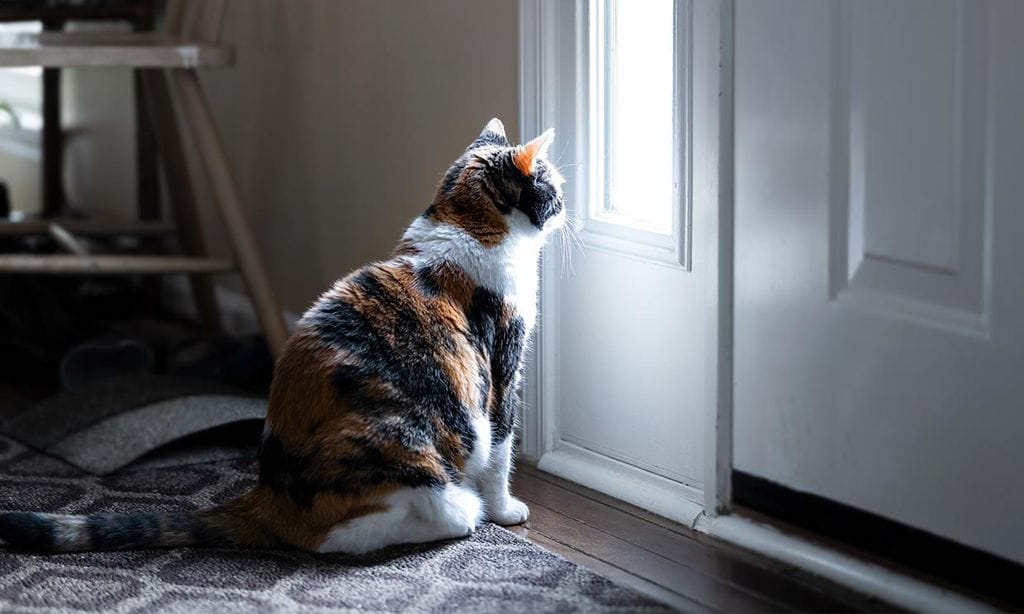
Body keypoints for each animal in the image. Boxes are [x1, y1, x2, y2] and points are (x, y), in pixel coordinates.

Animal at [0, 117, 565, 552]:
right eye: (554, 185)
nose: (566, 205)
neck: (467, 224)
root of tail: (267, 496)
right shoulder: (502, 370)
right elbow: (501, 449)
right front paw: (505, 509)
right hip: (409, 446)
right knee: (346, 536)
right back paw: (459, 516)